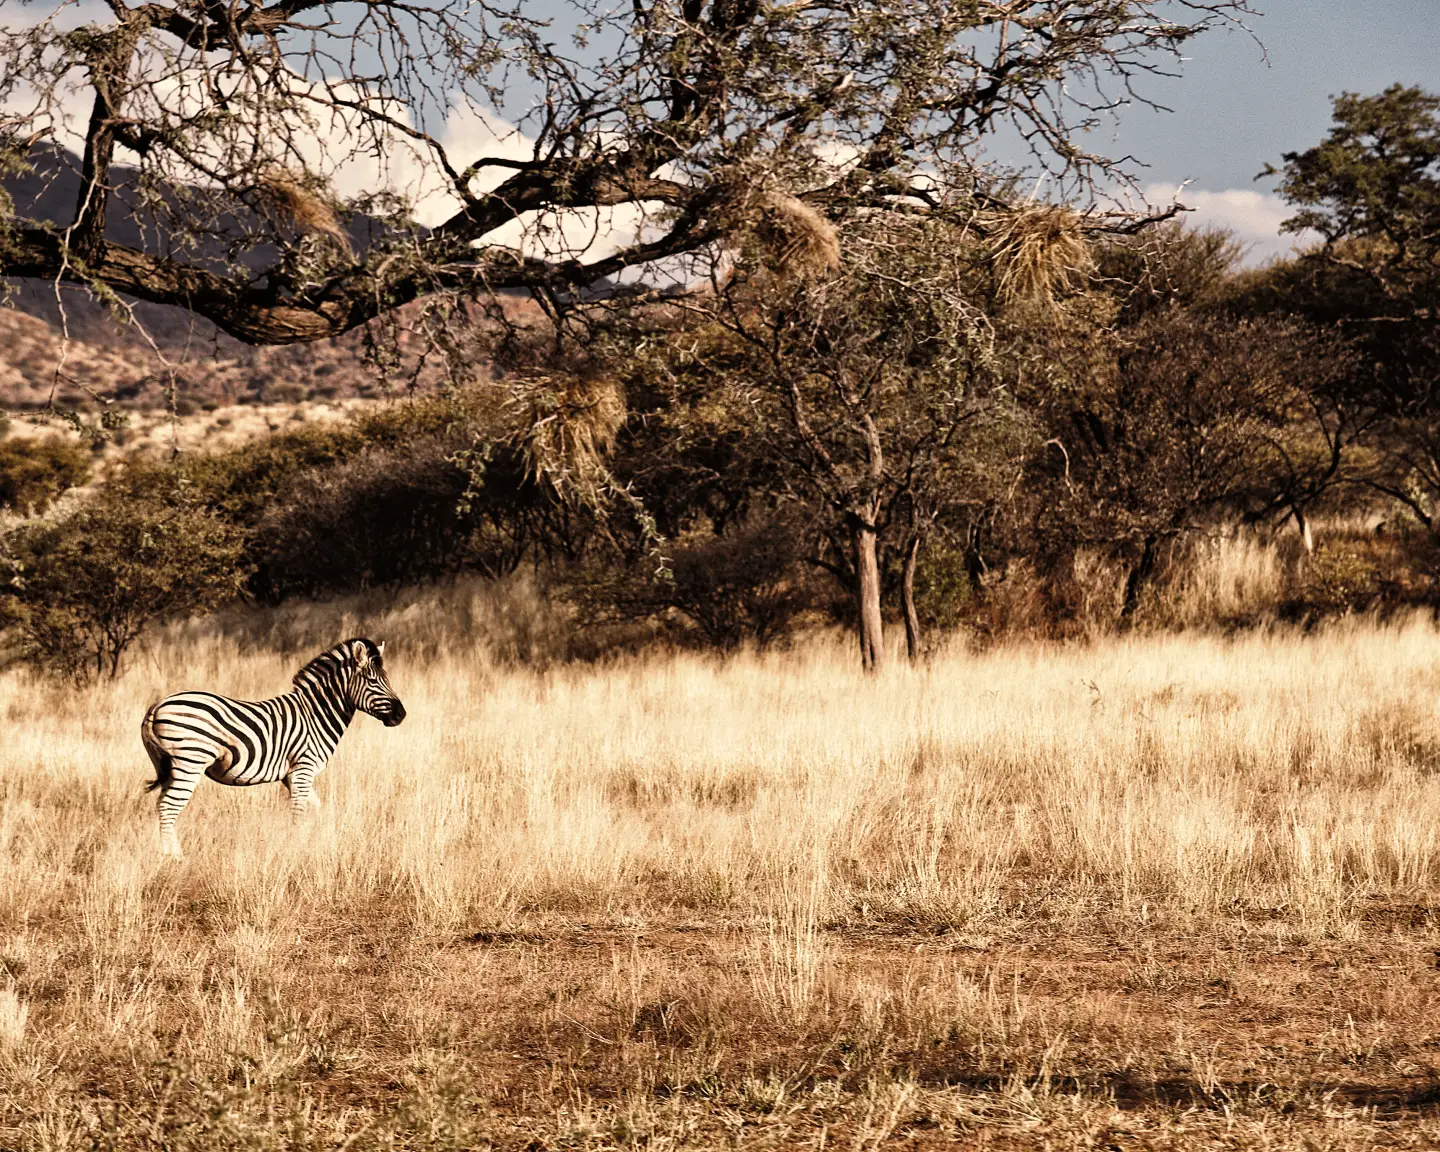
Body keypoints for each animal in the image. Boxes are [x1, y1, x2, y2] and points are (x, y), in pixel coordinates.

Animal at [141, 637, 406, 857]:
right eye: (372, 681)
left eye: (387, 679)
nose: (401, 715)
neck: (316, 715)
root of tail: (157, 706)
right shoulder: (303, 769)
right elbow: (298, 814)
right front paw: (297, 852)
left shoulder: (292, 775)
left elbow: (315, 809)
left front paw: (315, 842)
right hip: (190, 762)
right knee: (168, 807)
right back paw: (174, 859)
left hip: (170, 767)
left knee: (162, 805)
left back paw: (172, 855)